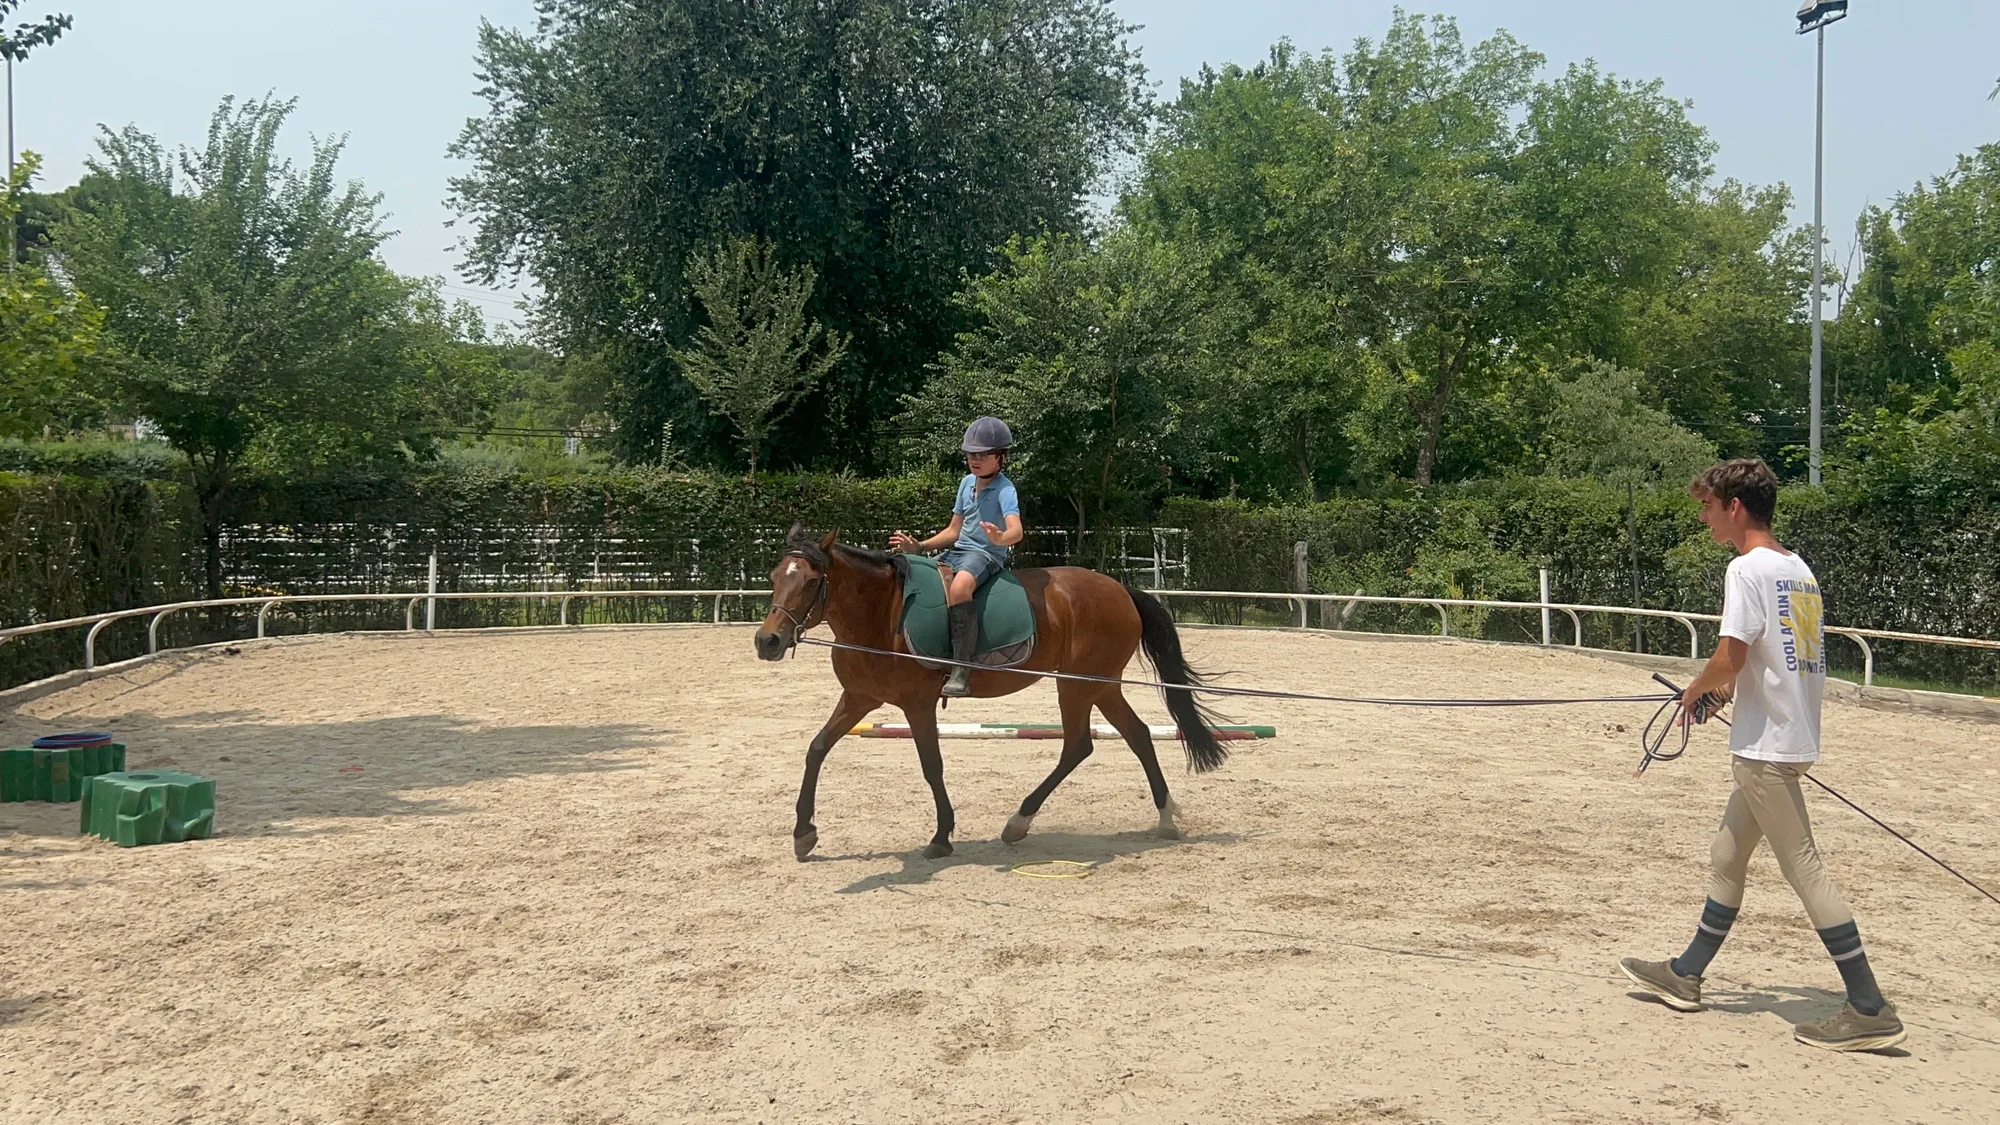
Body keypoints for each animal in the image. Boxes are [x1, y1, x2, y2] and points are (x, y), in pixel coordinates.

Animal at [754, 524, 1228, 860]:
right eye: (775, 576)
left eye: (812, 581)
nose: (767, 642)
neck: (882, 615)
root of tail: (1120, 589)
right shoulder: (859, 699)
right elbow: (817, 749)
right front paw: (804, 834)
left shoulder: (917, 705)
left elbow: (932, 766)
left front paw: (941, 836)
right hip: (1102, 685)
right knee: (1137, 735)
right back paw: (1165, 820)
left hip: (1078, 685)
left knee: (1079, 744)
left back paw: (1018, 822)